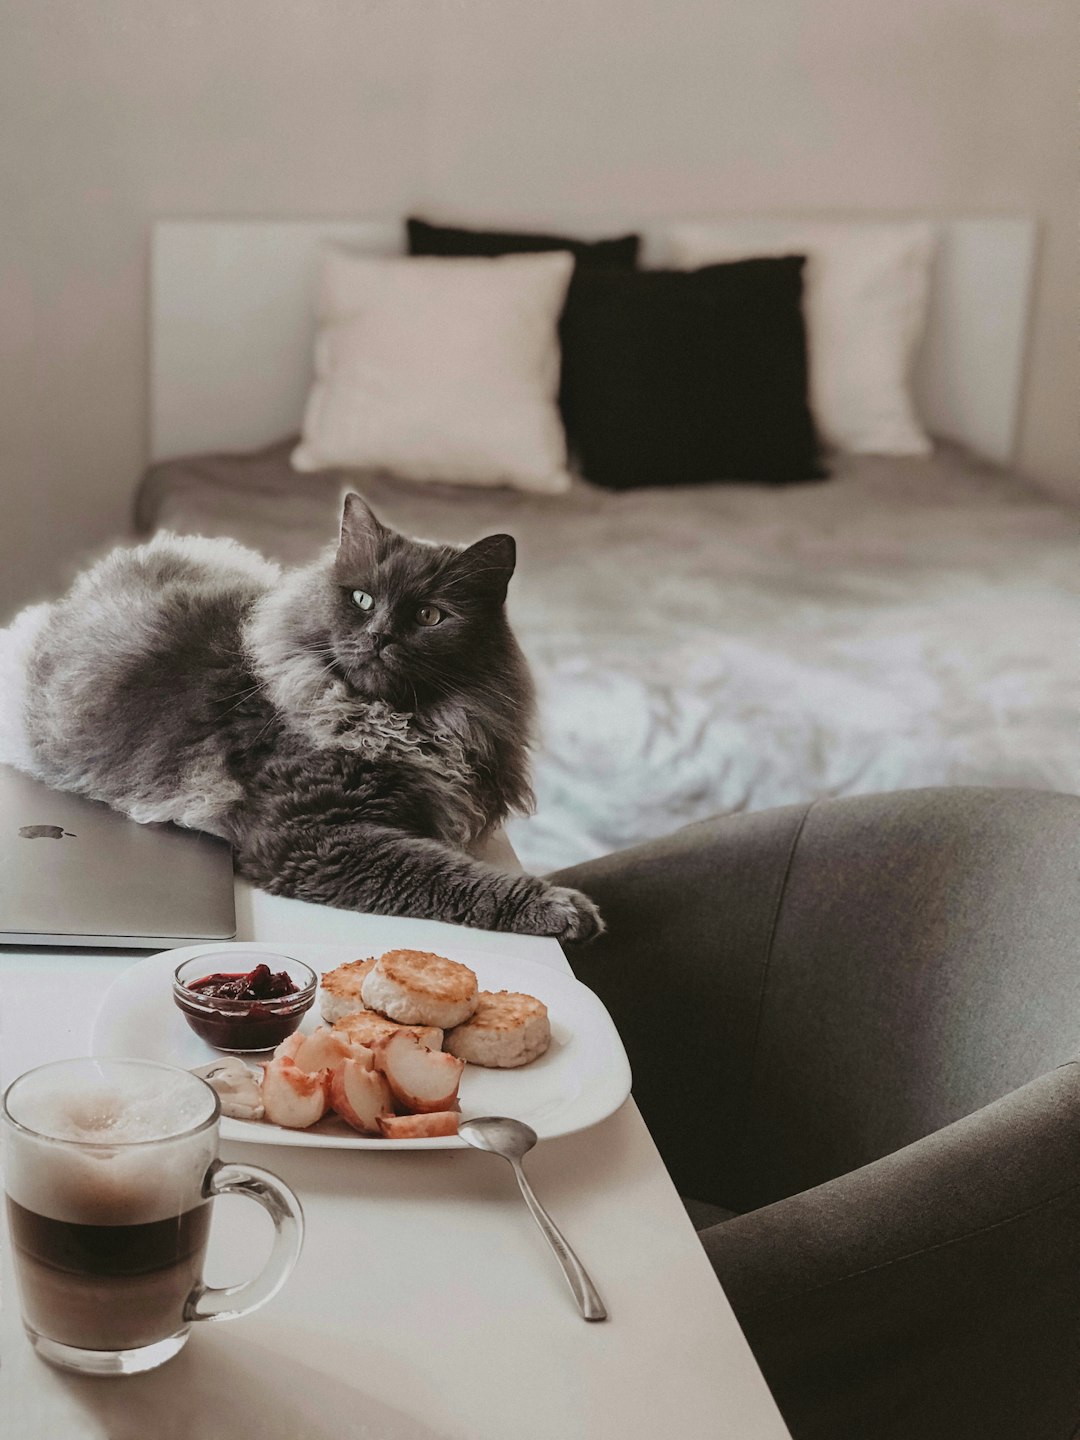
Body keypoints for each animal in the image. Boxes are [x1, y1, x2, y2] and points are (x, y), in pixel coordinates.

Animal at [0, 495, 604, 944]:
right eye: (362, 600)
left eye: (429, 615)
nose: (379, 637)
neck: (404, 722)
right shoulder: (311, 837)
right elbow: (454, 876)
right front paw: (562, 907)